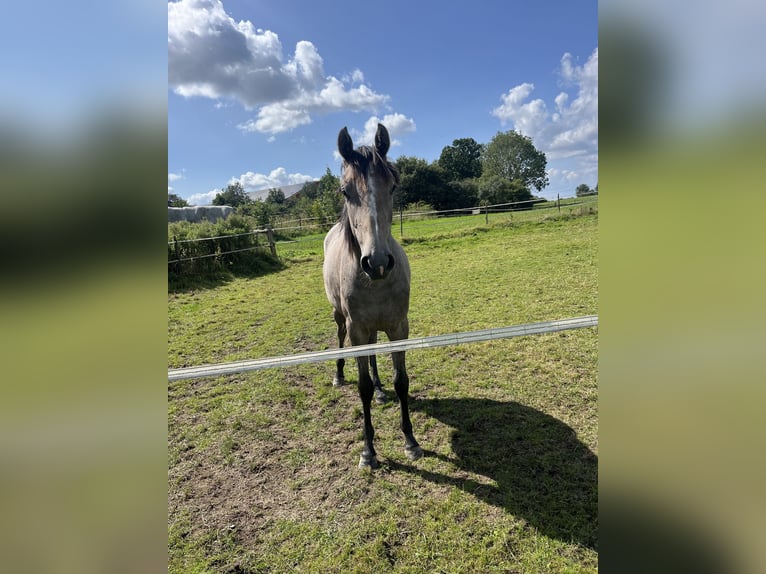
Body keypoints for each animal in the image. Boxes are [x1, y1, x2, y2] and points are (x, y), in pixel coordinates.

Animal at [323, 123, 424, 469]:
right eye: (344, 191)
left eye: (392, 186)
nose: (377, 262)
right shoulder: (357, 329)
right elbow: (362, 387)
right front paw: (368, 451)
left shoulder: (399, 327)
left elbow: (401, 380)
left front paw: (410, 441)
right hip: (343, 319)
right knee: (341, 339)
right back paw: (340, 375)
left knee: (374, 353)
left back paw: (381, 390)